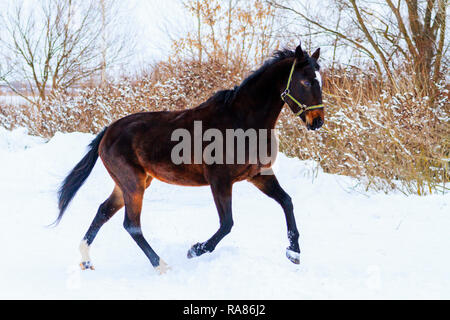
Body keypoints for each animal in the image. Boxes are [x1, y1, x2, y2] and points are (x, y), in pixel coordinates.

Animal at [55, 41, 324, 274]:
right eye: (306, 81)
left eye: (319, 81)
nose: (317, 122)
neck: (242, 122)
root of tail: (108, 131)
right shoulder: (220, 181)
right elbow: (227, 224)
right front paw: (195, 249)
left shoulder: (259, 175)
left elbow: (287, 201)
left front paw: (294, 253)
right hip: (133, 183)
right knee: (131, 225)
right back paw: (162, 266)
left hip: (131, 183)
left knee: (103, 211)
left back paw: (87, 261)